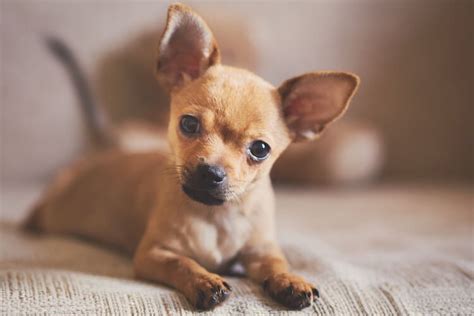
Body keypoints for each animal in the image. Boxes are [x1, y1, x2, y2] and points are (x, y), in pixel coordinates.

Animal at [25, 3, 360, 312]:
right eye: (188, 124)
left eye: (260, 149)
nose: (211, 172)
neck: (217, 216)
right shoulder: (153, 254)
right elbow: (182, 263)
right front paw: (204, 281)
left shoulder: (261, 250)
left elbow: (277, 264)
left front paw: (291, 281)